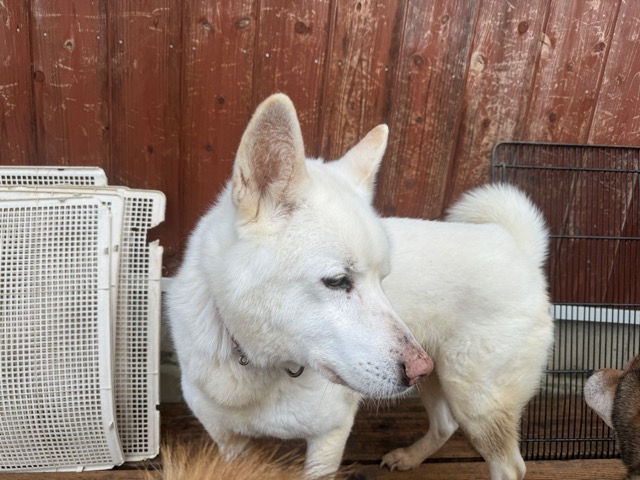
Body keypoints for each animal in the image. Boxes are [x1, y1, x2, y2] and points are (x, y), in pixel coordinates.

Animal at [167, 93, 433, 478]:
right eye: (337, 281)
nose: (421, 371)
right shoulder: (229, 443)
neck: (257, 362)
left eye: (383, 281)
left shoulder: (330, 436)